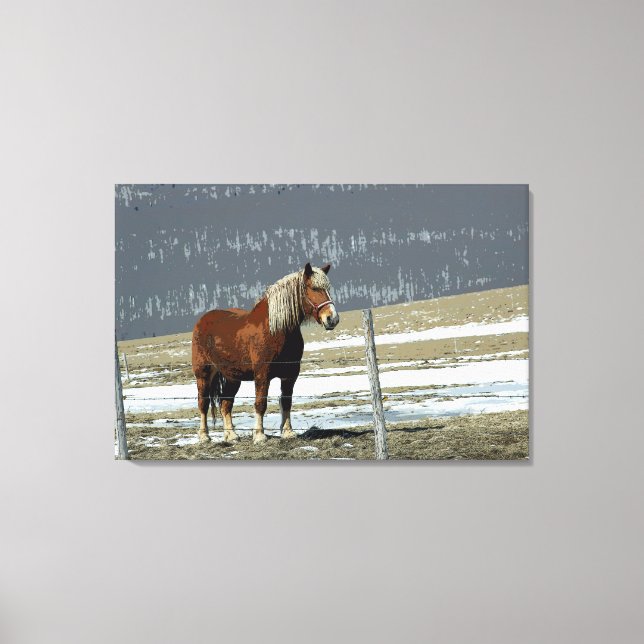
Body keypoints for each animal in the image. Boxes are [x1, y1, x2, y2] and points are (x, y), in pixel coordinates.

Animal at [191, 262, 340, 445]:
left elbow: (286, 401)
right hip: (203, 373)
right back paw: (204, 436)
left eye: (328, 288)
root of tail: (202, 320)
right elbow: (260, 403)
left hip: (233, 377)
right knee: (203, 403)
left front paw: (288, 432)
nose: (332, 319)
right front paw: (259, 435)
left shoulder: (290, 374)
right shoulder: (262, 374)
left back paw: (231, 435)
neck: (276, 330)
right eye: (314, 288)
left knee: (226, 403)